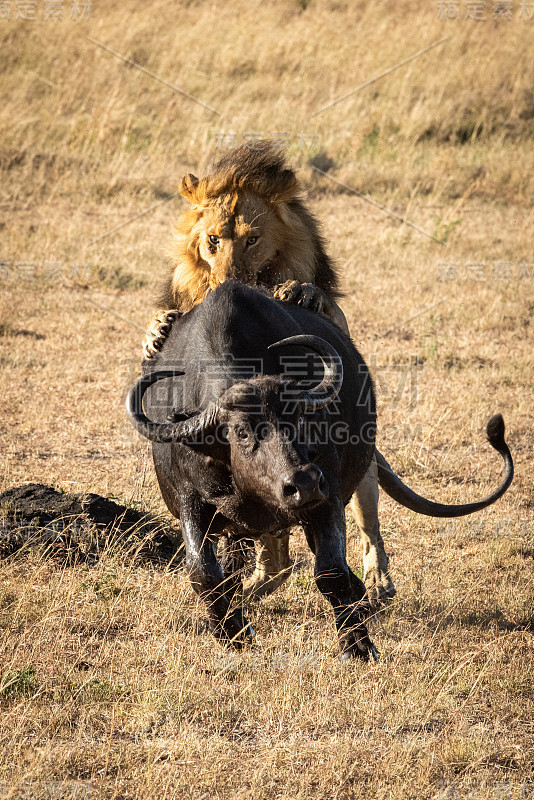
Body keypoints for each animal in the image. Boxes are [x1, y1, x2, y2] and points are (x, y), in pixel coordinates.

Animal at [142, 142, 398, 608]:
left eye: (253, 239)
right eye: (212, 240)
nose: (227, 279)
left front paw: (298, 292)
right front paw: (157, 331)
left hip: (362, 468)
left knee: (365, 522)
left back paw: (377, 582)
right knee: (274, 548)